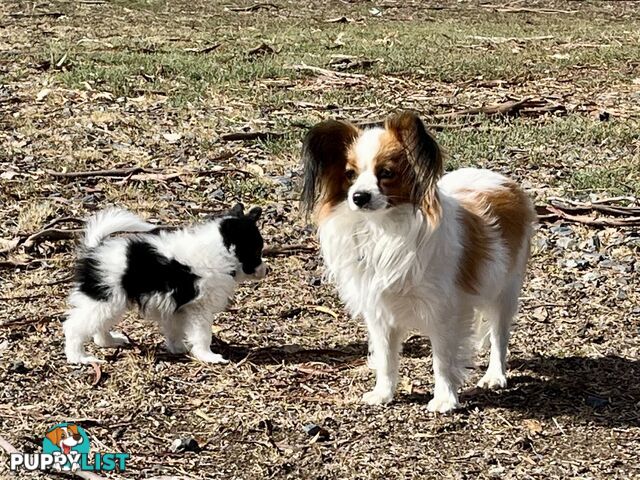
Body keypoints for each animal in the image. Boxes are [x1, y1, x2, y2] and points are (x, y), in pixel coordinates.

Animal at [64, 202, 264, 364]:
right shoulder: (200, 309)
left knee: (98, 326)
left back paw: (109, 342)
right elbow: (203, 335)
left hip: (110, 303)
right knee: (74, 327)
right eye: (256, 252)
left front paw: (178, 348)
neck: (219, 250)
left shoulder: (177, 308)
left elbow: (174, 331)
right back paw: (79, 357)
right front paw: (209, 356)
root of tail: (94, 250)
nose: (266, 270)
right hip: (105, 300)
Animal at [302, 112, 536, 412]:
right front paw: (383, 393)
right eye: (350, 175)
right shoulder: (380, 313)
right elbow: (386, 359)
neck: (384, 229)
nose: (359, 197)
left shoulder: (444, 311)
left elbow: (443, 360)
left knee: (499, 335)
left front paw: (444, 398)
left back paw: (495, 375)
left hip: (504, 290)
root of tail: (503, 181)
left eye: (386, 173)